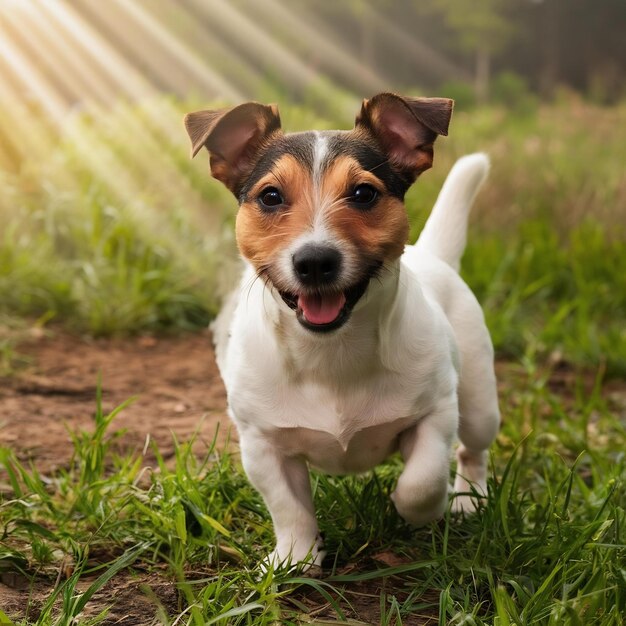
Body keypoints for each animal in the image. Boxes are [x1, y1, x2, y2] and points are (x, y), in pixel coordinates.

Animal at [184, 92, 498, 564]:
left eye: (364, 193)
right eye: (270, 196)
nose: (315, 261)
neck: (331, 351)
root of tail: (432, 254)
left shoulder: (436, 412)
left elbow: (422, 482)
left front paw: (415, 508)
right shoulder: (262, 443)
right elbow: (288, 506)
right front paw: (295, 557)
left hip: (479, 402)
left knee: (472, 449)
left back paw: (466, 501)